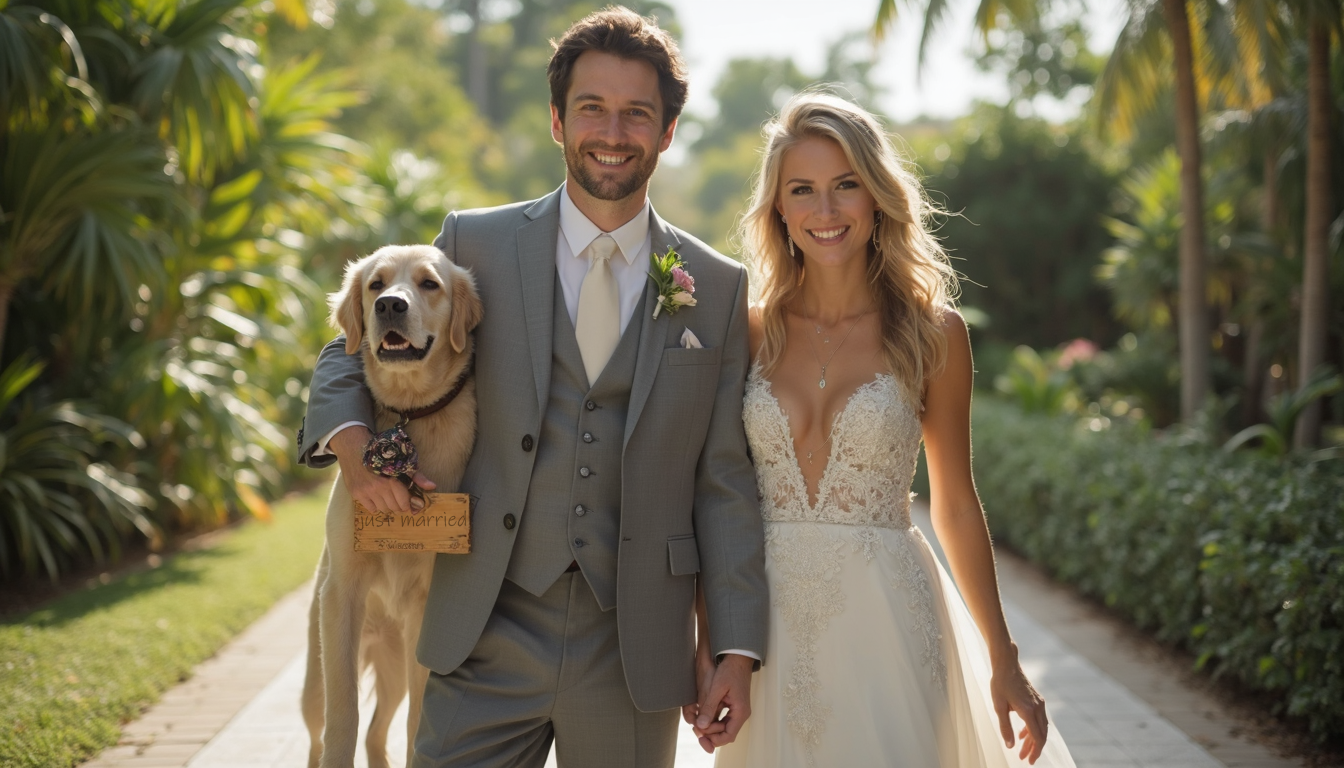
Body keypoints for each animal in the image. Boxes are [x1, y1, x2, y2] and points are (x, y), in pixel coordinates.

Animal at [301, 244, 483, 768]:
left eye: (429, 284)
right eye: (376, 285)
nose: (390, 307)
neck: (408, 411)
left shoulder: (426, 610)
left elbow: (417, 723)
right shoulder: (341, 597)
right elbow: (343, 717)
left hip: (397, 665)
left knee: (379, 732)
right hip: (313, 677)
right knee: (319, 735)